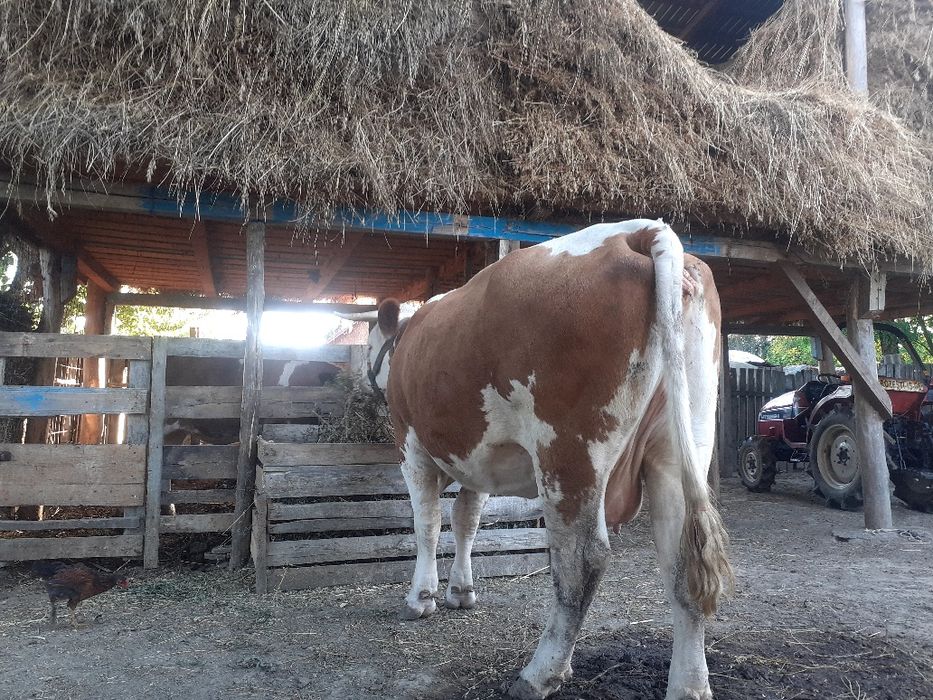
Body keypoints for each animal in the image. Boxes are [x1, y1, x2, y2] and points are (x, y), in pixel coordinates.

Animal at [339, 219, 733, 700]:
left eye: (370, 342)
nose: (359, 386)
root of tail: (640, 231)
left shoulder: (411, 446)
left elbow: (427, 523)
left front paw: (421, 598)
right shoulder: (478, 460)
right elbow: (466, 519)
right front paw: (461, 590)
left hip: (569, 451)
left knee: (581, 559)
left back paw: (540, 672)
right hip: (678, 446)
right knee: (681, 559)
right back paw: (688, 685)